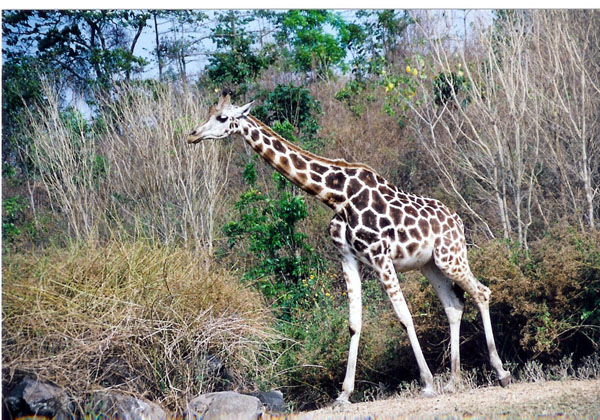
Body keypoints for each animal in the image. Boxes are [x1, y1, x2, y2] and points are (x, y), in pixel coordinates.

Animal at [188, 90, 510, 406]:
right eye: (208, 113)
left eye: (222, 117)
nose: (192, 135)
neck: (335, 195)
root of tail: (458, 220)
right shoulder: (347, 257)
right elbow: (354, 323)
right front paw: (343, 394)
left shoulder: (380, 256)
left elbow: (404, 316)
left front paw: (428, 384)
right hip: (430, 265)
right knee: (453, 305)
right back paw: (454, 380)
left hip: (450, 256)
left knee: (482, 292)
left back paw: (500, 372)